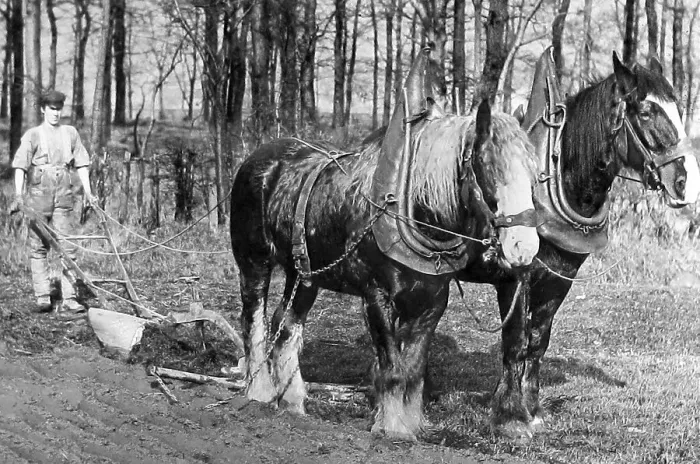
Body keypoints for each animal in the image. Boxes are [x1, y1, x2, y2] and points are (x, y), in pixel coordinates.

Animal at [229, 92, 541, 440]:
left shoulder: (432, 301)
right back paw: (259, 393)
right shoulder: (376, 297)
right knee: (254, 323)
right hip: (253, 263)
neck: (409, 210)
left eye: (534, 175)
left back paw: (292, 401)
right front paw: (393, 428)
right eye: (489, 167)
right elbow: (392, 365)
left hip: (305, 275)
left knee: (286, 325)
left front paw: (411, 422)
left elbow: (413, 368)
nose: (524, 246)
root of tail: (258, 158)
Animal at [458, 50, 700, 439]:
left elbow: (537, 340)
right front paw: (509, 415)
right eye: (645, 111)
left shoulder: (560, 277)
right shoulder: (516, 276)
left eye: (677, 109)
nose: (687, 184)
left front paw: (532, 410)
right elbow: (515, 340)